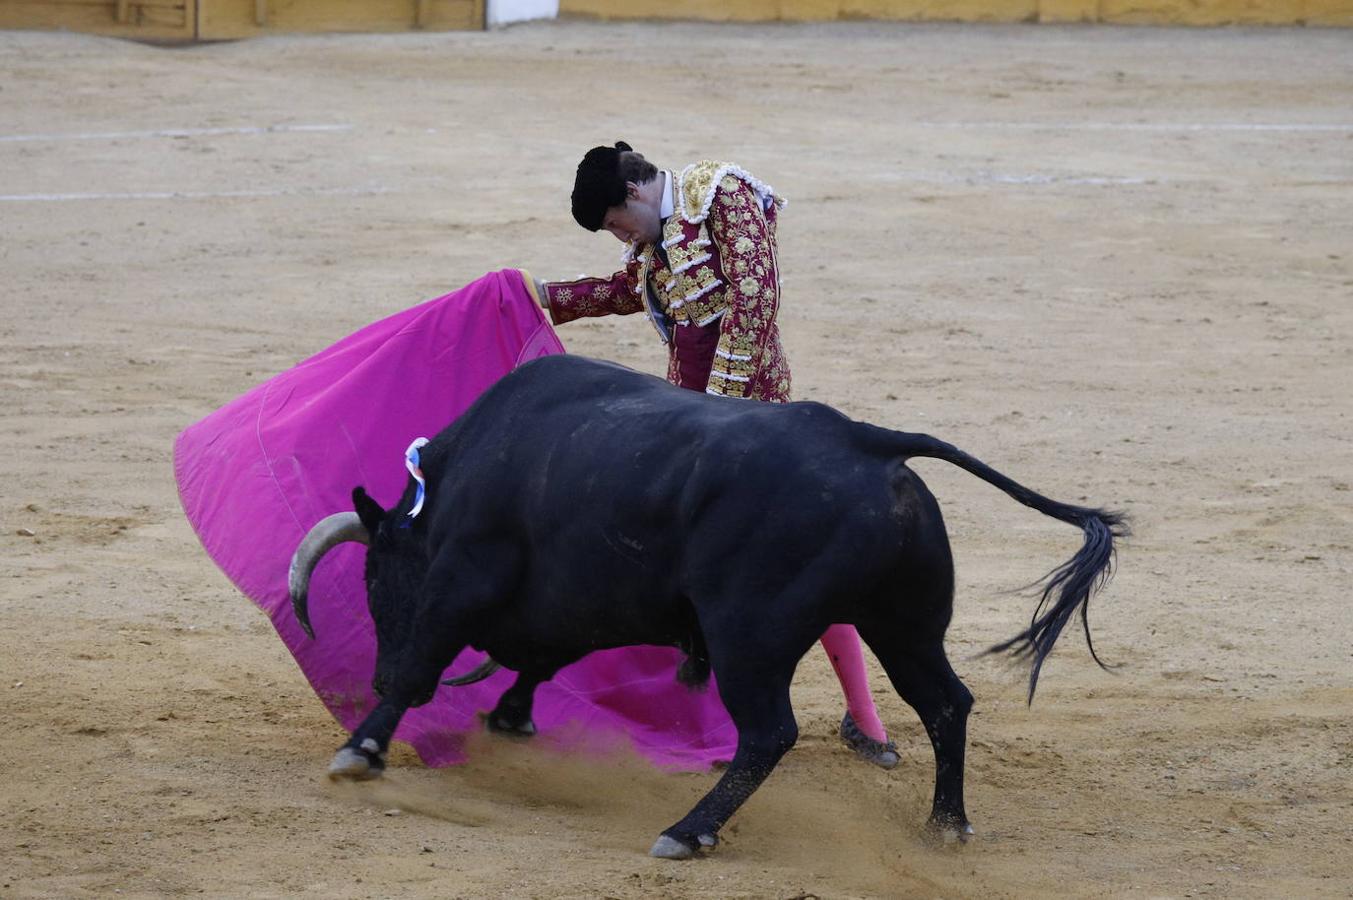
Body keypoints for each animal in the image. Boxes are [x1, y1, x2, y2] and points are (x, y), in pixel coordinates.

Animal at [290, 351, 1125, 855]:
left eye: (374, 581)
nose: (367, 676)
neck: (451, 484)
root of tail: (867, 442)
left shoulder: (463, 573)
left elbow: (426, 658)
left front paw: (362, 749)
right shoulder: (573, 601)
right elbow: (545, 657)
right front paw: (510, 716)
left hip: (749, 633)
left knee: (769, 732)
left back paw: (687, 832)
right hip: (904, 622)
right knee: (945, 702)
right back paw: (946, 824)